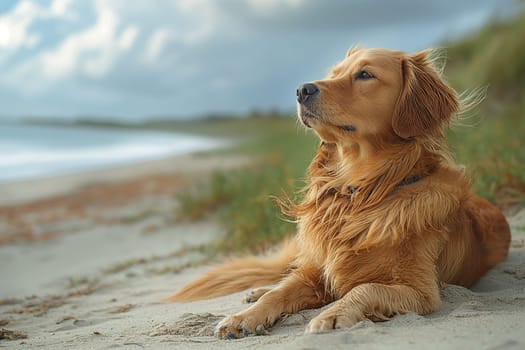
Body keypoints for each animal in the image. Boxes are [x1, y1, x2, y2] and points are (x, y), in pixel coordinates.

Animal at [167, 47, 508, 338]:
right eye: (334, 74)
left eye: (365, 74)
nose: (301, 90)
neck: (359, 192)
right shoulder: (317, 272)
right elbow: (281, 292)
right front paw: (244, 319)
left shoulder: (422, 292)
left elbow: (365, 288)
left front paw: (332, 315)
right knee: (284, 274)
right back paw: (257, 291)